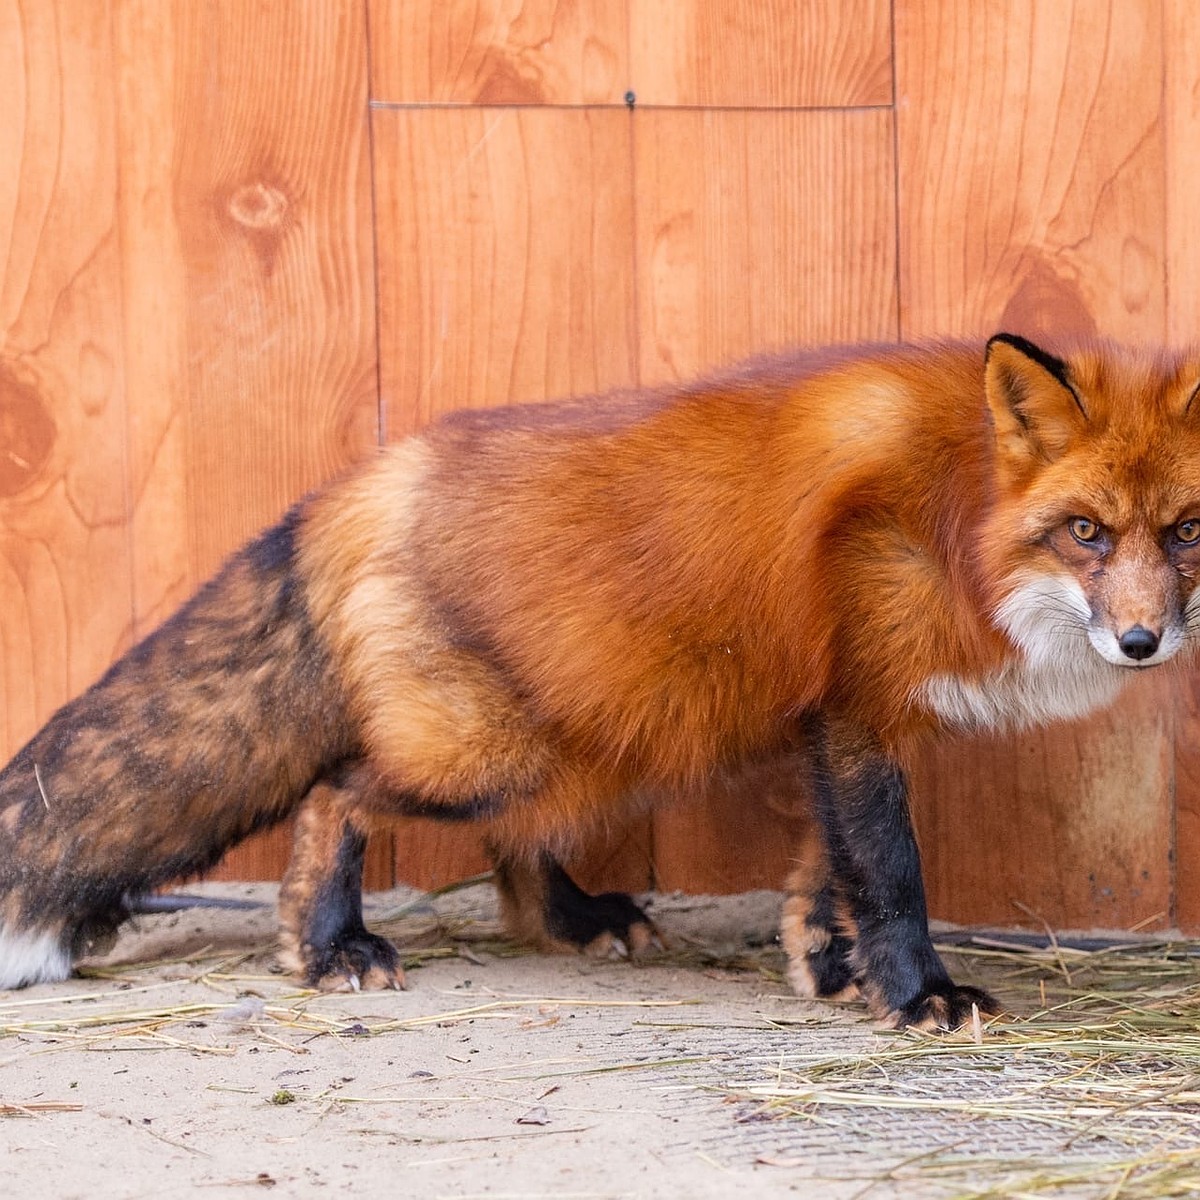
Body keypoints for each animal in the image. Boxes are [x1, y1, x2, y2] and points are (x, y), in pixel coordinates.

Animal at [2, 338, 1200, 1032]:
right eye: (1087, 533)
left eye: (1186, 531)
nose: (1144, 642)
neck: (957, 507)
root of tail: (356, 489)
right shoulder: (858, 717)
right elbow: (893, 875)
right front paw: (916, 997)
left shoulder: (848, 720)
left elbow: (829, 872)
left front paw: (828, 966)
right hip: (490, 757)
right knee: (336, 795)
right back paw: (330, 945)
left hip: (590, 745)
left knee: (515, 851)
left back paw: (572, 921)